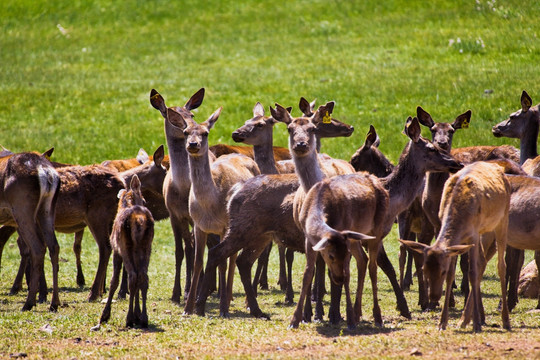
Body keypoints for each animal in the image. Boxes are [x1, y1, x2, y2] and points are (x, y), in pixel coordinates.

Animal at [0, 150, 60, 310]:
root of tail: (46, 171)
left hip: (21, 207)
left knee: (37, 246)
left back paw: (29, 303)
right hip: (47, 209)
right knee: (53, 246)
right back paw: (54, 303)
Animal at [99, 176, 154, 328]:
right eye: (144, 200)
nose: (145, 202)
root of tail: (139, 221)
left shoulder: (116, 250)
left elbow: (114, 281)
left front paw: (105, 315)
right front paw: (137, 314)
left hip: (125, 246)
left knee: (133, 276)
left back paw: (128, 319)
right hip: (146, 247)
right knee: (143, 276)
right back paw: (144, 318)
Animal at [400, 162, 510, 334]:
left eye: (442, 272)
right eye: (424, 269)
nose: (433, 296)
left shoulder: (473, 233)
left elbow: (472, 272)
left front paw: (477, 324)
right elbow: (454, 274)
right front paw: (442, 322)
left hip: (502, 219)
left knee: (500, 266)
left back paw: (505, 320)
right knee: (483, 261)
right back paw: (464, 320)